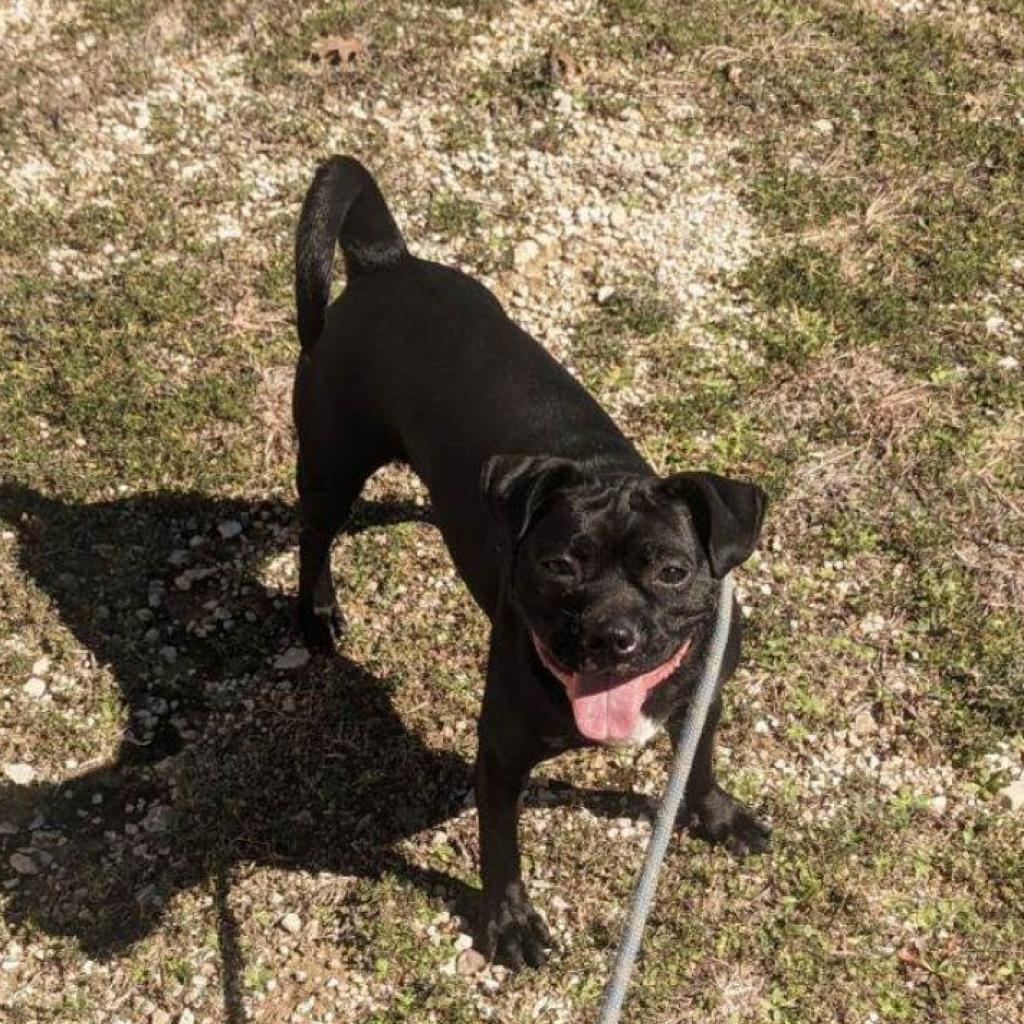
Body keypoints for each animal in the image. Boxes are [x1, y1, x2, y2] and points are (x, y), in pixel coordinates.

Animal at [290, 155, 770, 970]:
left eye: (672, 571)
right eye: (558, 567)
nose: (613, 636)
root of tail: (386, 262)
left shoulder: (702, 705)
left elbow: (699, 767)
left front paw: (716, 817)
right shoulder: (501, 757)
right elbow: (500, 848)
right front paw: (508, 923)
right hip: (332, 462)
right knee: (313, 537)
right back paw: (317, 612)